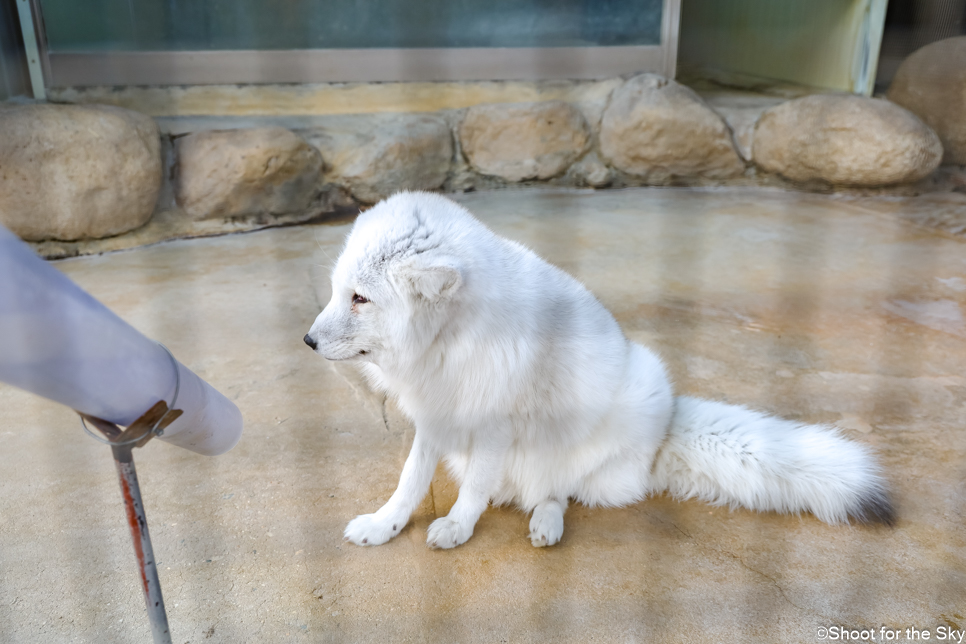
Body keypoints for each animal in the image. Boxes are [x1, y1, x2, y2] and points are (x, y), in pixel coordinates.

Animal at [306, 191, 896, 548]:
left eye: (360, 298)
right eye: (337, 292)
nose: (307, 341)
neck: (445, 348)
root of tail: (667, 428)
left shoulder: (495, 424)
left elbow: (473, 489)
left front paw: (456, 525)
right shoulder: (436, 417)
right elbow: (410, 482)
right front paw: (384, 525)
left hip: (592, 428)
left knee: (557, 490)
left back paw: (545, 523)